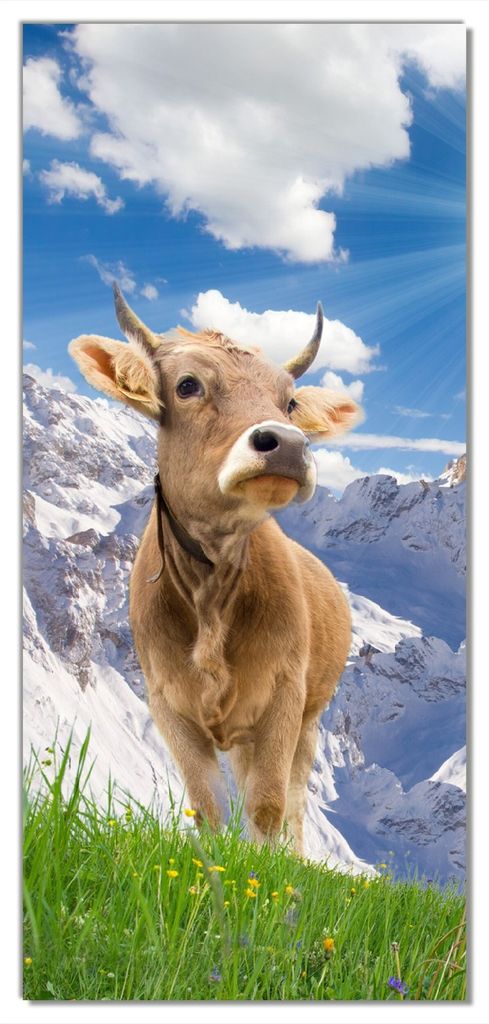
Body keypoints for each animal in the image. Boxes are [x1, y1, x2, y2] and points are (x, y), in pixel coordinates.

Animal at [69, 286, 362, 854]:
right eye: (188, 385)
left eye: (289, 401)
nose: (288, 444)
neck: (210, 593)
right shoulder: (168, 705)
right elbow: (207, 809)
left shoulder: (284, 697)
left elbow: (268, 808)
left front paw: (268, 875)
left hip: (309, 718)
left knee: (293, 801)